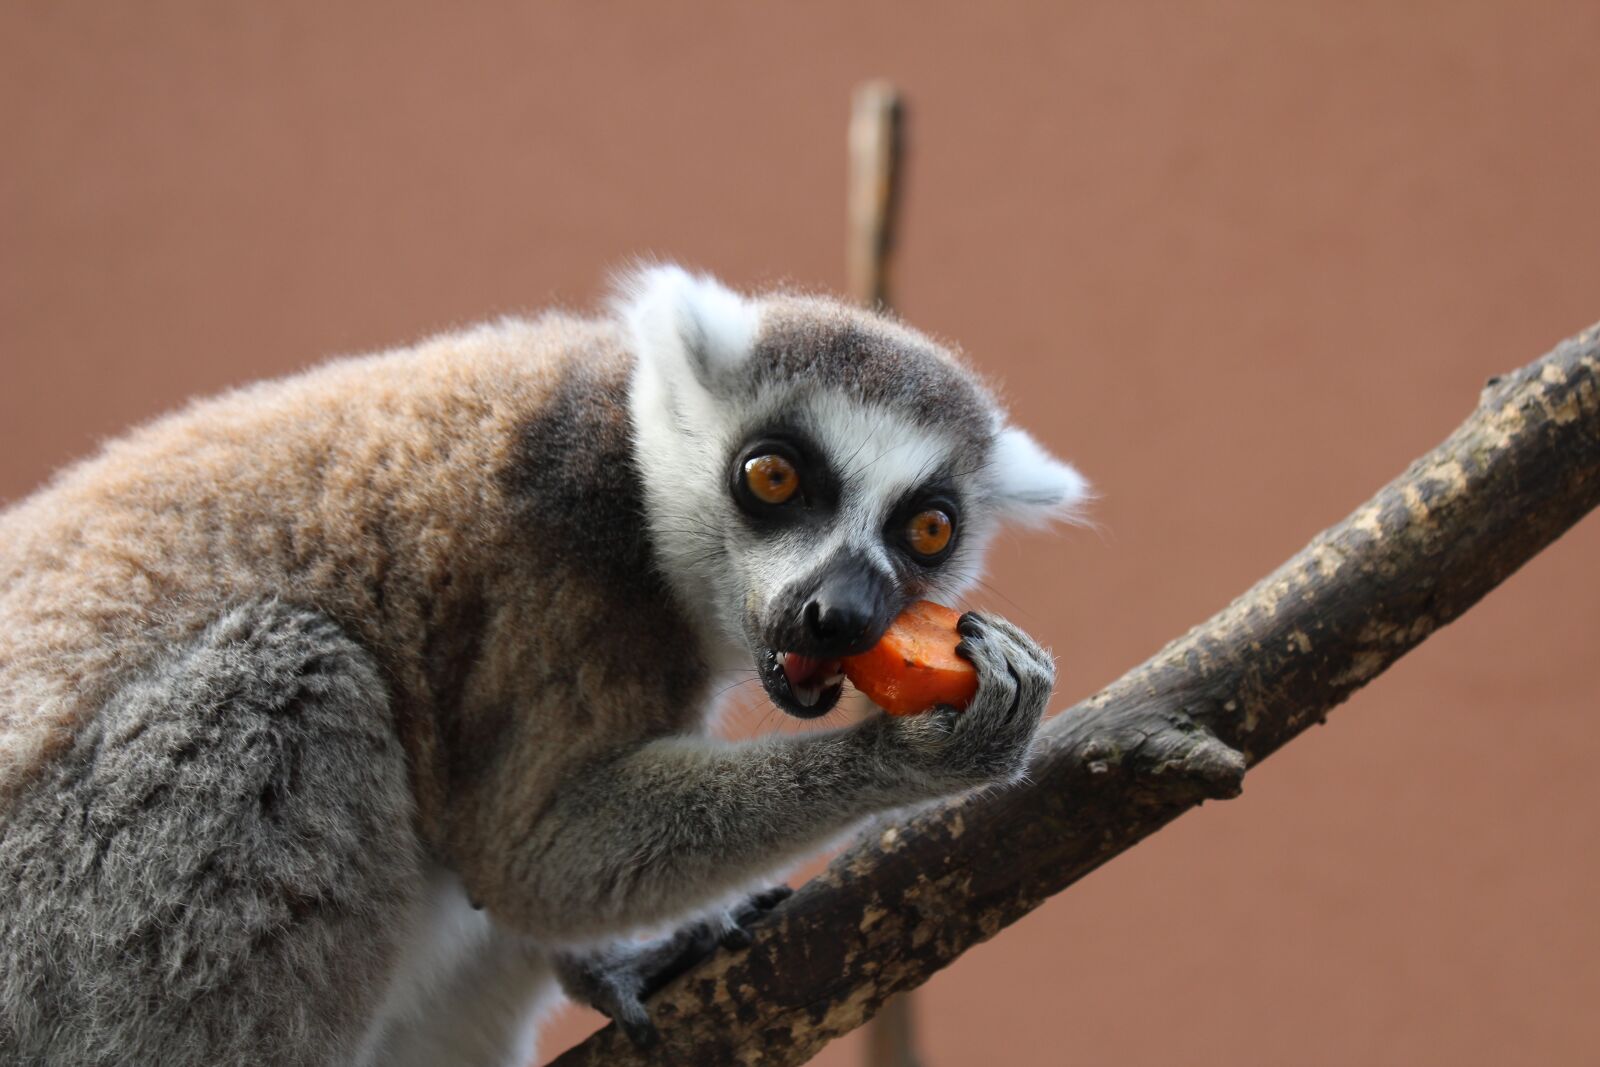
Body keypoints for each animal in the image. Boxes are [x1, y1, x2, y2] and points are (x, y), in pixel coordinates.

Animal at [0, 266, 1088, 1065]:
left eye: (929, 529)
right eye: (772, 476)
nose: (839, 613)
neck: (630, 473)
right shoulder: (553, 592)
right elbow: (530, 855)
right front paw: (921, 754)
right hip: (59, 932)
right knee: (292, 691)